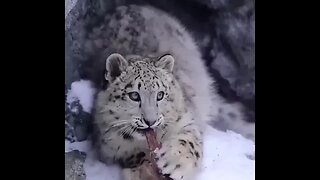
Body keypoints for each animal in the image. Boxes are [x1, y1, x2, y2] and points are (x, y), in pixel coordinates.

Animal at [92, 4, 255, 180]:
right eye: (134, 95)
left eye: (160, 95)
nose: (150, 121)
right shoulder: (109, 145)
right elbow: (132, 154)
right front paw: (144, 170)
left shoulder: (187, 119)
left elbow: (189, 140)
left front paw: (175, 162)